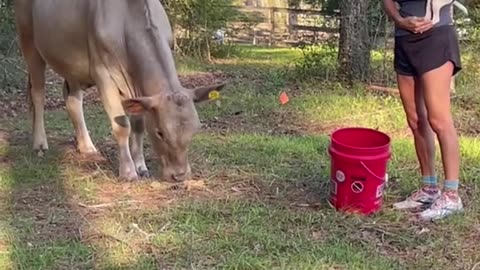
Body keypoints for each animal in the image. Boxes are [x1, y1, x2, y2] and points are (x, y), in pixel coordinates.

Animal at [12, 0, 227, 181]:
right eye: (160, 132)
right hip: (28, 41)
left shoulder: (139, 89)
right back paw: (40, 143)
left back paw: (86, 146)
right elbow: (122, 126)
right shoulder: (103, 74)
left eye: (195, 130)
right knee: (38, 93)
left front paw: (141, 166)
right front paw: (129, 171)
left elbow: (139, 125)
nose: (179, 175)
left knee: (72, 99)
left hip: (72, 64)